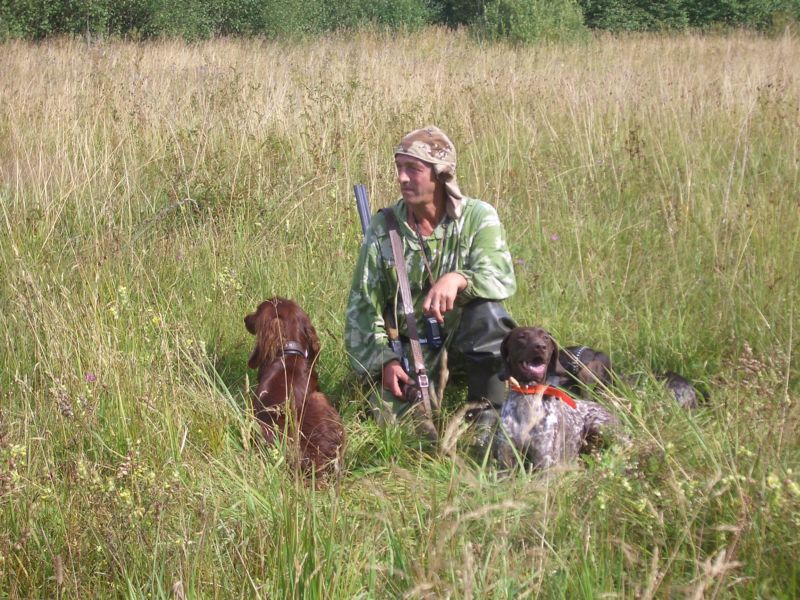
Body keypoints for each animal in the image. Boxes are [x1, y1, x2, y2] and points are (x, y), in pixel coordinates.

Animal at [494, 327, 620, 471]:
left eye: (546, 338)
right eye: (522, 336)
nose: (541, 347)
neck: (528, 396)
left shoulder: (545, 462)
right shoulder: (506, 460)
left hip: (597, 424)